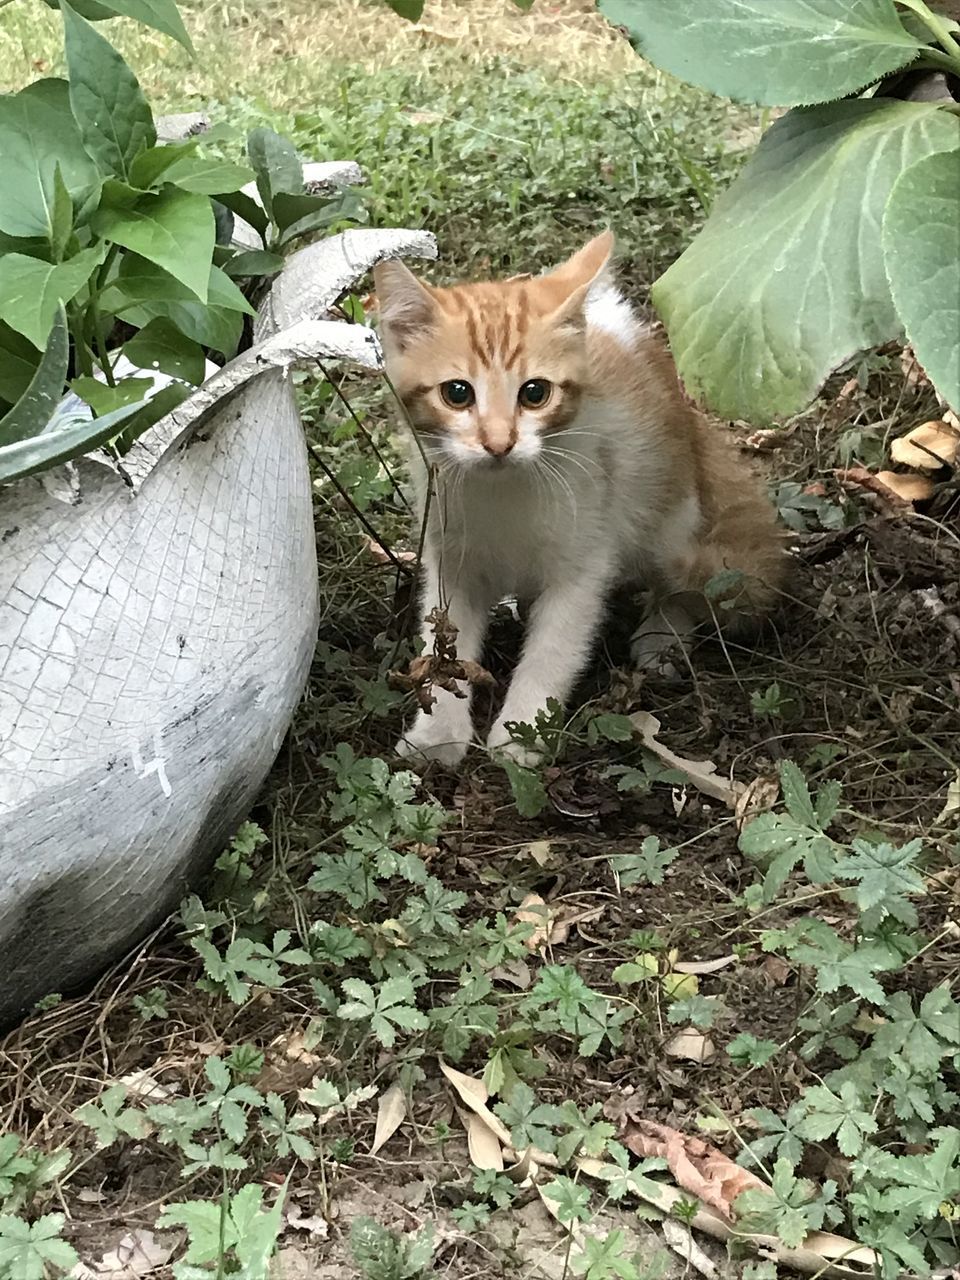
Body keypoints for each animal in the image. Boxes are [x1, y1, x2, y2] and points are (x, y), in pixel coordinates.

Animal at [371, 234, 783, 762]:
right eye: (457, 393)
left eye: (535, 393)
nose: (499, 443)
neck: (503, 492)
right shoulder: (449, 555)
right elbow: (444, 645)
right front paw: (437, 734)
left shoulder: (585, 559)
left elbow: (554, 649)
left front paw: (520, 735)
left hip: (669, 508)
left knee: (688, 579)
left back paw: (663, 632)